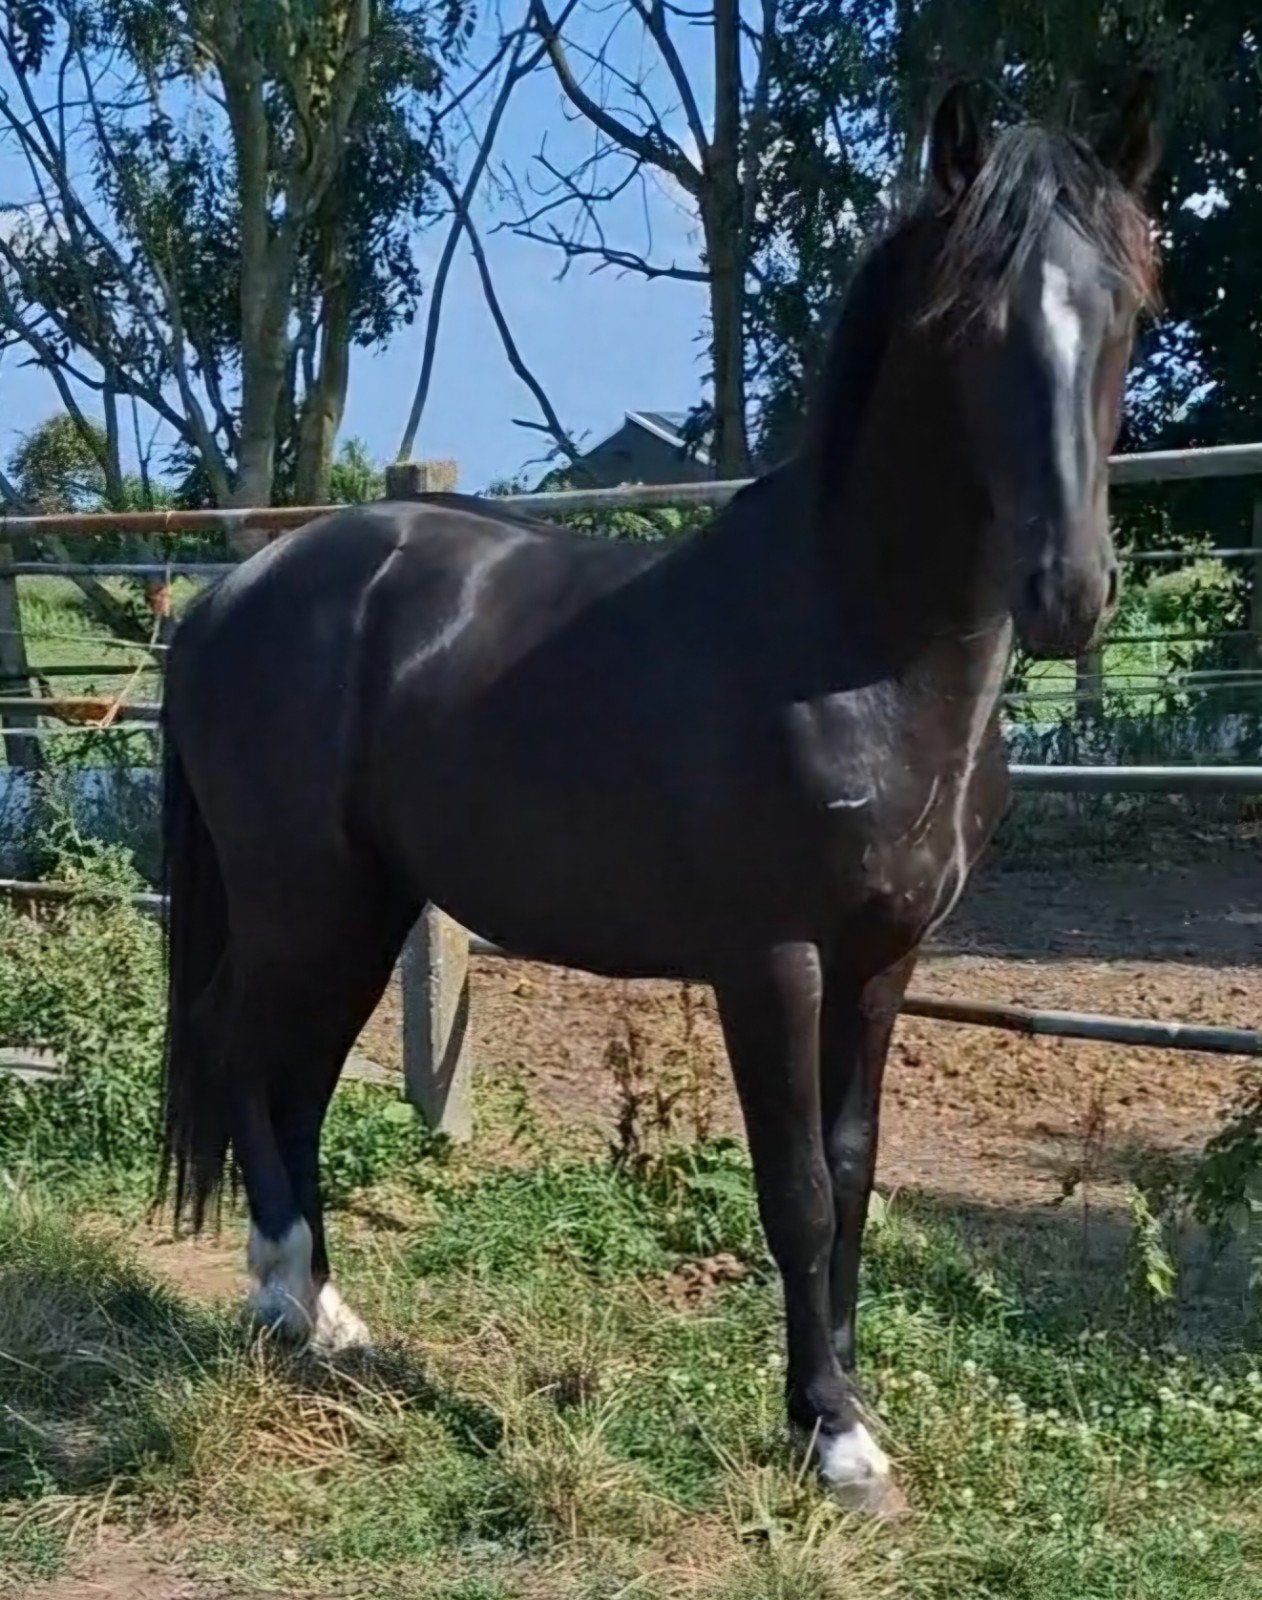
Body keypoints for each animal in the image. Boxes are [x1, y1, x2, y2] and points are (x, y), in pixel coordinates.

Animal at [160, 82, 1159, 1514]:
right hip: (304, 899)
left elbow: (851, 1176)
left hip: (365, 905)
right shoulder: (770, 960)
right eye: (968, 318)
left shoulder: (883, 960)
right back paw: (288, 1298)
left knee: (295, 1077)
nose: (1067, 591)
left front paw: (843, 1410)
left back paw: (328, 1316)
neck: (847, 642)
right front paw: (830, 1439)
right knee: (254, 1056)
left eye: (1127, 306)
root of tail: (228, 597)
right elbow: (794, 1190)